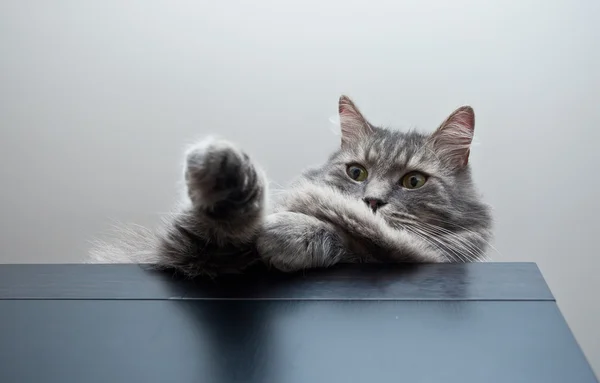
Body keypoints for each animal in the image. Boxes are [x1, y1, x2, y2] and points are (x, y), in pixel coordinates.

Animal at [90, 95, 492, 276]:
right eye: (356, 173)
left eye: (413, 181)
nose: (372, 202)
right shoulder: (190, 251)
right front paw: (222, 168)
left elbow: (358, 241)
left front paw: (287, 234)